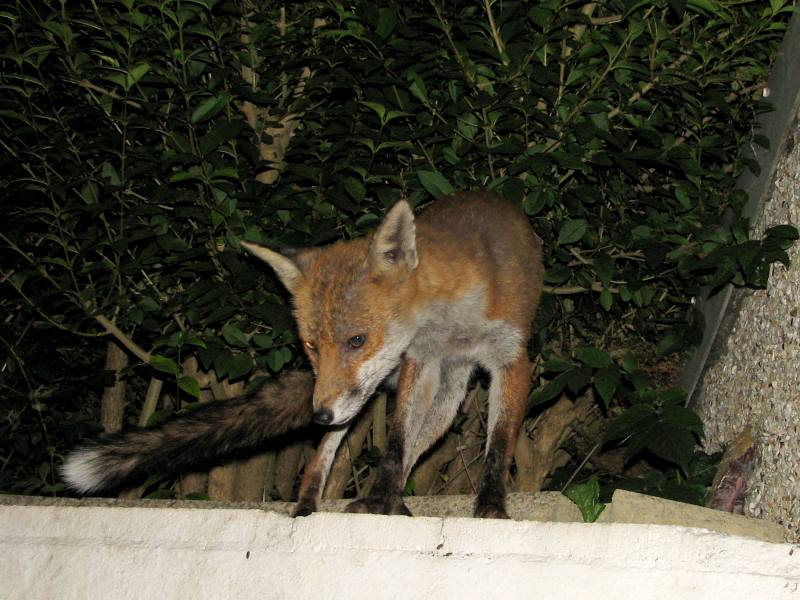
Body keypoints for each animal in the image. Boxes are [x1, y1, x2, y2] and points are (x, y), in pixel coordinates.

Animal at [63, 190, 543, 519]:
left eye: (356, 340)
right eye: (312, 346)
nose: (319, 415)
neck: (456, 322)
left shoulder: (511, 358)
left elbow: (499, 442)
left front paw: (491, 508)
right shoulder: (417, 361)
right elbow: (394, 443)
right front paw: (380, 500)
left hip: (436, 399)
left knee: (419, 443)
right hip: (370, 393)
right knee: (331, 451)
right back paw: (312, 503)